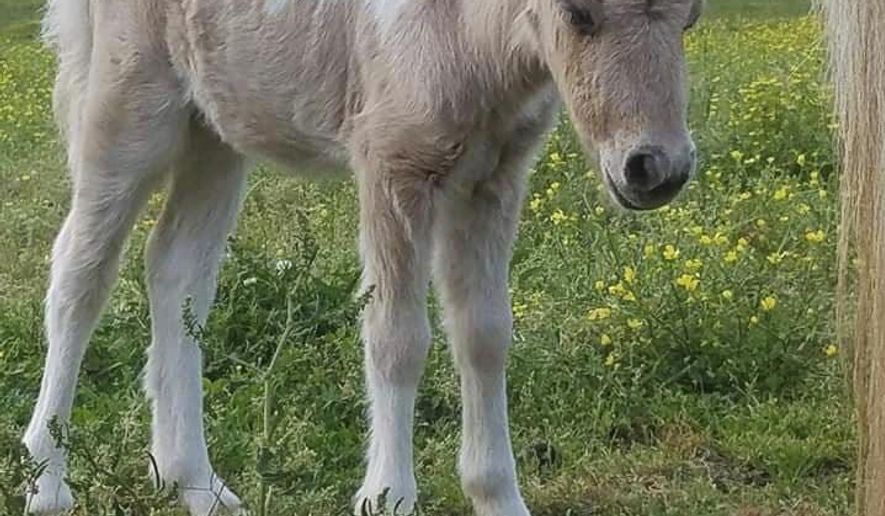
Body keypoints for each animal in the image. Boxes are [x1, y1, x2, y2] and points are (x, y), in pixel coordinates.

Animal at [23, 0, 701, 514]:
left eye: (690, 17)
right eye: (577, 13)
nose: (654, 169)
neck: (471, 35)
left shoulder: (494, 180)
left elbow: (484, 335)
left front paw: (499, 498)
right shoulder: (394, 165)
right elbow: (397, 337)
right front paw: (388, 497)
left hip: (211, 130)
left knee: (176, 271)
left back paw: (192, 482)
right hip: (131, 105)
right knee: (81, 275)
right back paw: (48, 483)